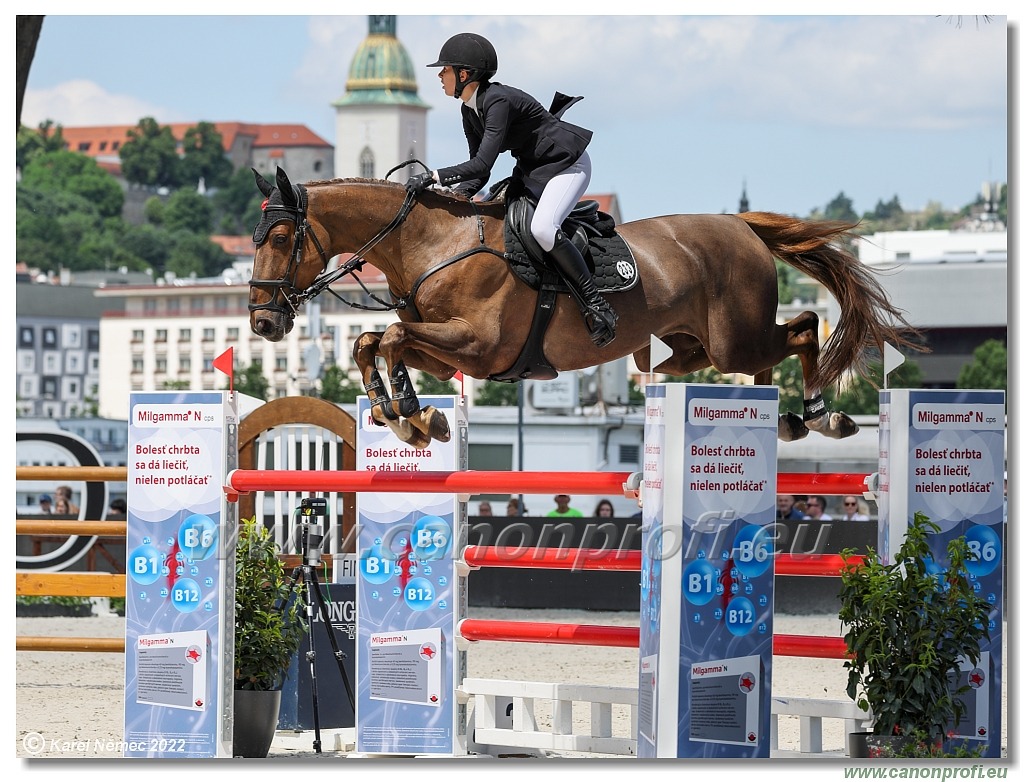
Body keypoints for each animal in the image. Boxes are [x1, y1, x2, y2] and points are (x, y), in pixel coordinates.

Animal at [249, 164, 921, 448]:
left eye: (280, 238)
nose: (262, 321)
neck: (436, 243)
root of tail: (741, 226)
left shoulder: (478, 345)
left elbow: (388, 338)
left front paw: (412, 415)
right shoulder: (450, 352)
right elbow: (374, 342)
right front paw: (404, 416)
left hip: (736, 336)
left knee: (803, 329)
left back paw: (819, 415)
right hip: (695, 346)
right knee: (719, 362)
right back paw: (777, 418)